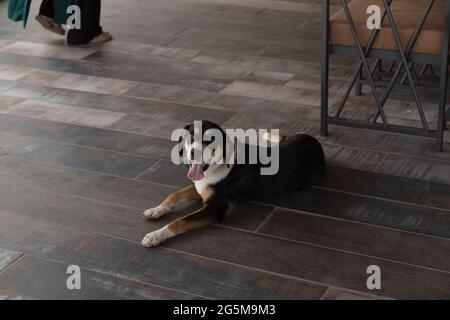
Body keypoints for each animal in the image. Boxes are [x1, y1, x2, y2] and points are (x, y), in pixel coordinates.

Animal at [141, 120, 324, 248]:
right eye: (191, 136)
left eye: (211, 140)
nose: (194, 153)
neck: (217, 164)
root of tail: (314, 141)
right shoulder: (200, 186)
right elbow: (174, 194)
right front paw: (156, 210)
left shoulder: (216, 207)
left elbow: (180, 221)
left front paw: (155, 235)